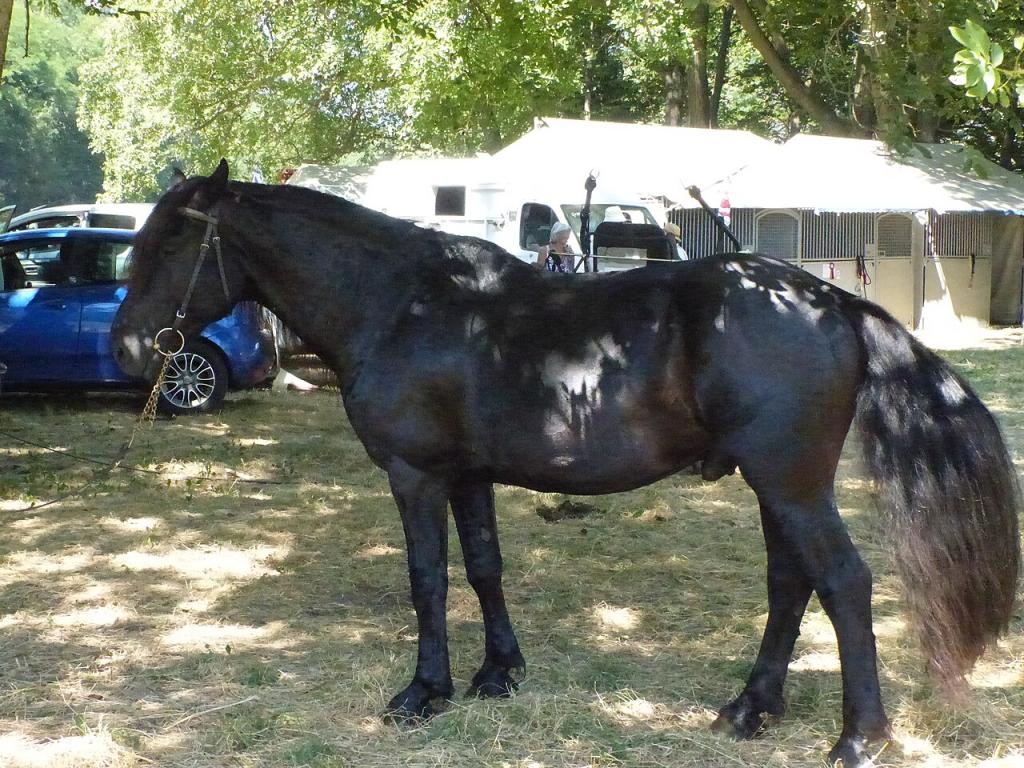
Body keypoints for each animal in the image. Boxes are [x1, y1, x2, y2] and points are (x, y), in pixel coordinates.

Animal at [112, 161, 1020, 768]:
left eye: (172, 240)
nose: (125, 347)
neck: (401, 304)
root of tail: (827, 297)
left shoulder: (416, 475)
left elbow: (428, 580)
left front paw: (424, 692)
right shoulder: (467, 476)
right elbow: (483, 568)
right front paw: (498, 674)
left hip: (791, 484)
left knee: (843, 584)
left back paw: (858, 737)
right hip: (778, 487)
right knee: (790, 584)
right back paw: (750, 709)